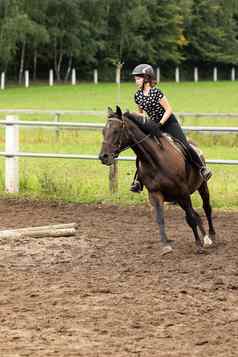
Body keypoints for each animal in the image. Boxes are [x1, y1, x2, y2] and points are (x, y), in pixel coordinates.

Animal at [98, 105, 216, 253]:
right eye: (103, 131)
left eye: (116, 130)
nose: (103, 157)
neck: (156, 160)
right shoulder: (155, 194)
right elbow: (160, 218)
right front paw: (166, 246)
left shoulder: (183, 192)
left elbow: (190, 218)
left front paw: (198, 245)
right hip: (178, 198)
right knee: (196, 214)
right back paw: (205, 237)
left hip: (201, 187)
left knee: (206, 208)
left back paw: (210, 236)